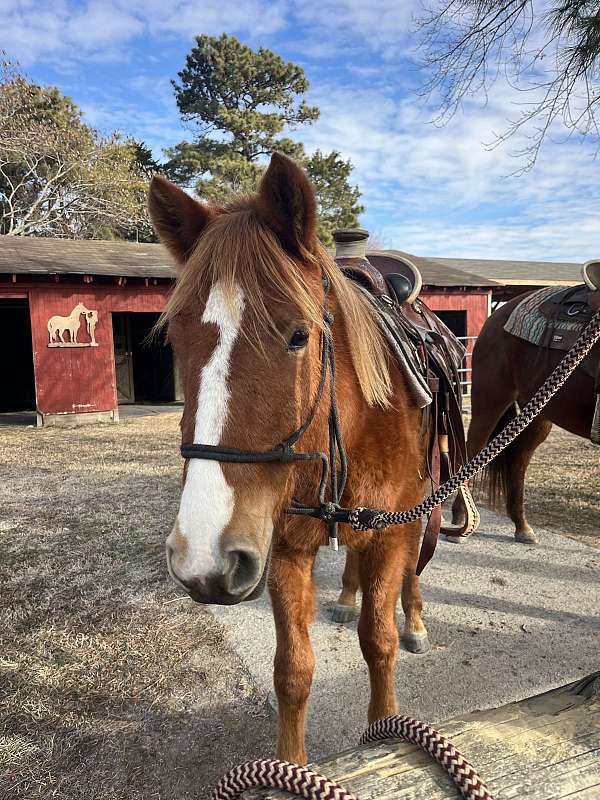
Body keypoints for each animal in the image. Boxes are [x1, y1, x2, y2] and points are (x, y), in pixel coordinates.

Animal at [148, 155, 434, 764]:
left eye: (299, 336)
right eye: (175, 342)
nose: (202, 557)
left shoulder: (391, 531)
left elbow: (379, 641)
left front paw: (385, 732)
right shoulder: (281, 548)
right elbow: (292, 671)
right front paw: (291, 765)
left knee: (413, 569)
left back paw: (416, 617)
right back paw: (346, 595)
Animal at [452, 294, 596, 544]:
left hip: (538, 411)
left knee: (520, 455)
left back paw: (522, 526)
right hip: (491, 399)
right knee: (474, 451)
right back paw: (461, 520)